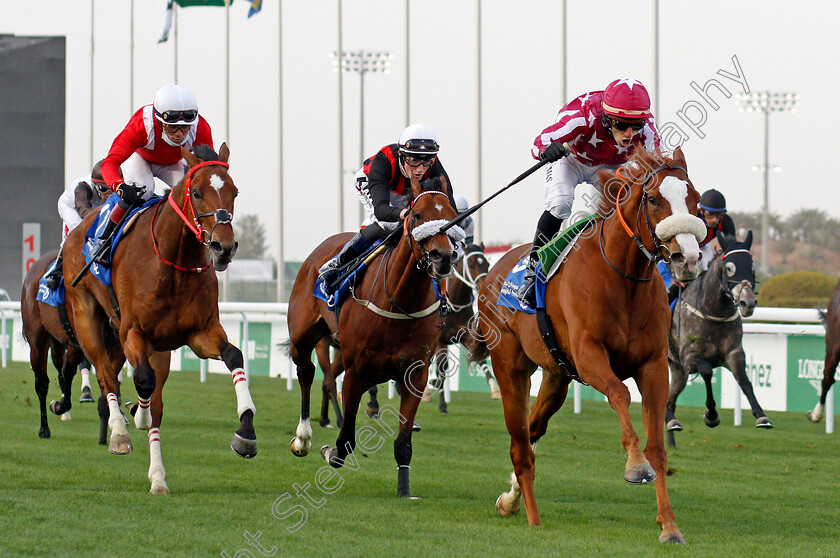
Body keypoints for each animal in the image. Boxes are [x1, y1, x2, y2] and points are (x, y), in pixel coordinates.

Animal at [62, 143, 256, 494]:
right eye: (197, 192)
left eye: (234, 192)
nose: (223, 247)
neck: (173, 262)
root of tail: (82, 226)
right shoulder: (132, 332)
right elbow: (141, 380)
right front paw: (133, 419)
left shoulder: (200, 333)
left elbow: (234, 355)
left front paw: (246, 433)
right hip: (86, 317)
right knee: (106, 376)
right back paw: (120, 433)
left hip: (155, 347)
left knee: (148, 392)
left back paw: (157, 475)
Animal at [288, 176, 460, 498]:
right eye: (418, 215)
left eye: (451, 215)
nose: (442, 257)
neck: (399, 300)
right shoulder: (357, 369)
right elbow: (344, 443)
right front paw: (328, 450)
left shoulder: (415, 373)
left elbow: (403, 442)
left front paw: (405, 489)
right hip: (303, 336)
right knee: (306, 370)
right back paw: (303, 438)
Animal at [476, 149, 704, 548]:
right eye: (654, 199)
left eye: (695, 199)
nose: (687, 258)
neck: (622, 278)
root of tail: (493, 272)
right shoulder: (589, 356)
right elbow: (619, 394)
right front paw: (635, 466)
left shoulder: (653, 366)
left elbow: (659, 449)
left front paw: (669, 525)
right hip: (510, 369)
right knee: (520, 445)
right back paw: (532, 518)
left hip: (555, 377)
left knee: (531, 434)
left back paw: (510, 500)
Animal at [664, 230, 776, 444]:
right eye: (730, 268)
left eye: (752, 266)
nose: (747, 302)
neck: (713, 311)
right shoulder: (689, 357)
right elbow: (707, 372)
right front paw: (711, 415)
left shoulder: (734, 353)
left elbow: (745, 382)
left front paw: (761, 416)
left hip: (677, 368)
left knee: (672, 391)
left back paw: (671, 420)